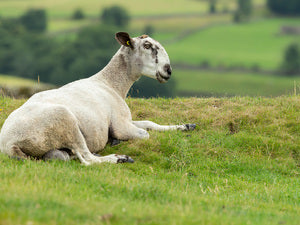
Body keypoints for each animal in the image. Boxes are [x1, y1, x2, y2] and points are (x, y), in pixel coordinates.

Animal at [0, 32, 196, 165]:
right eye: (147, 45)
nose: (168, 70)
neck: (111, 84)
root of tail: (9, 144)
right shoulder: (120, 124)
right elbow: (145, 134)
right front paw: (117, 141)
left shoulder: (125, 119)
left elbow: (150, 123)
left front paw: (185, 126)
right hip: (65, 120)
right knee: (87, 159)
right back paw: (119, 158)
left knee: (67, 156)